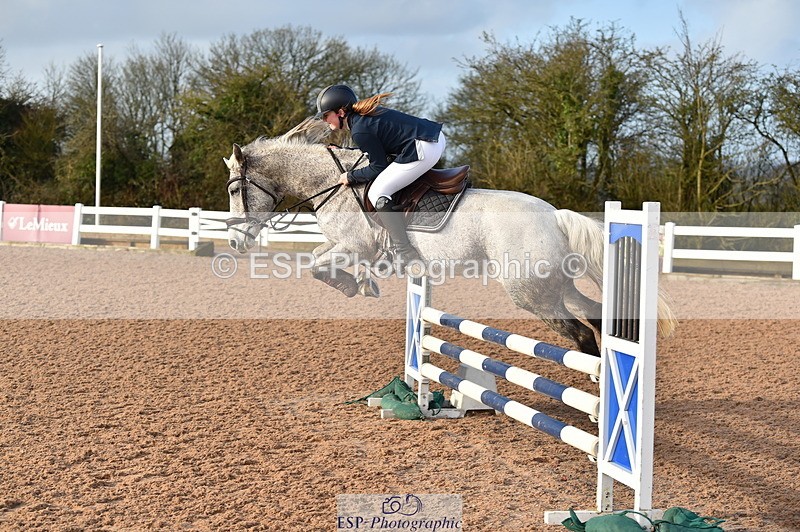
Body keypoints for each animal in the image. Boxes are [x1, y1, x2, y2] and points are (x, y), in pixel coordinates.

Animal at [224, 118, 676, 356]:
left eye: (233, 190)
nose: (235, 243)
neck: (332, 182)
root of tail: (556, 217)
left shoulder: (355, 245)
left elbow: (316, 264)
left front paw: (354, 286)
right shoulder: (345, 246)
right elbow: (316, 259)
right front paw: (362, 284)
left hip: (529, 292)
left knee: (580, 332)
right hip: (555, 284)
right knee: (596, 315)